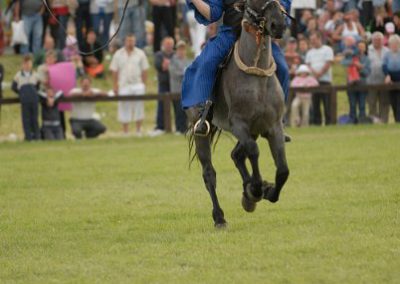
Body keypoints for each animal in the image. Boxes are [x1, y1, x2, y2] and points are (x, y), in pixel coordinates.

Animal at [186, 0, 290, 227]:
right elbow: (254, 152)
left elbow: (283, 171)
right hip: (202, 131)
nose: (278, 24)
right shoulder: (239, 125)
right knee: (210, 173)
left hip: (254, 130)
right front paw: (256, 190)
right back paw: (220, 217)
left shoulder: (274, 127)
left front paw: (265, 191)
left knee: (236, 155)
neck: (257, 76)